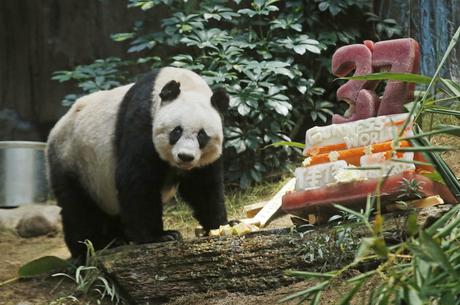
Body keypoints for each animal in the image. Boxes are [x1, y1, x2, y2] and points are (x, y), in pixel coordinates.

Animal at [46, 66, 230, 256]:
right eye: (177, 131)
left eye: (202, 135)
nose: (185, 156)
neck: (186, 83)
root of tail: (54, 130)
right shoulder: (142, 121)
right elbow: (137, 179)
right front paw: (159, 236)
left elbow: (203, 186)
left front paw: (222, 225)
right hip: (74, 160)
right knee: (78, 208)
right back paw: (91, 247)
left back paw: (118, 238)